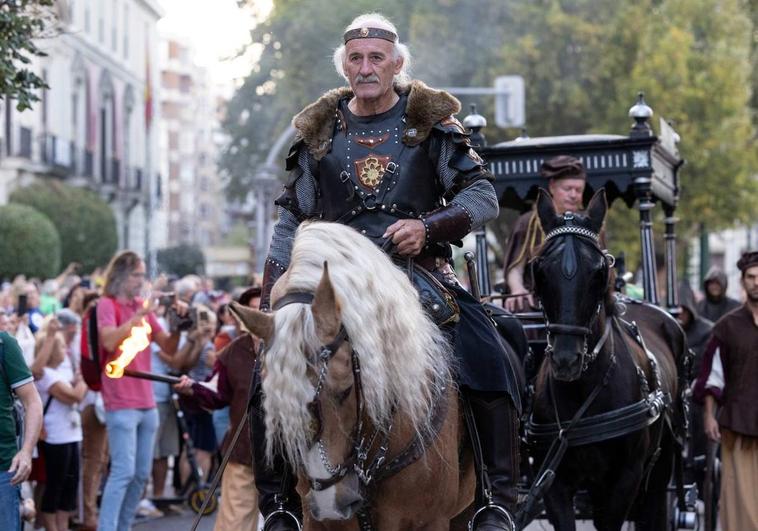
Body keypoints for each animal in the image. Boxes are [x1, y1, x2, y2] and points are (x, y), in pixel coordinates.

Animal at [524, 189, 684, 528]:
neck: (584, 391)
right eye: (539, 270)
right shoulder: (552, 482)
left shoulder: (625, 479)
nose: (566, 359)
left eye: (599, 272)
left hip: (661, 466)